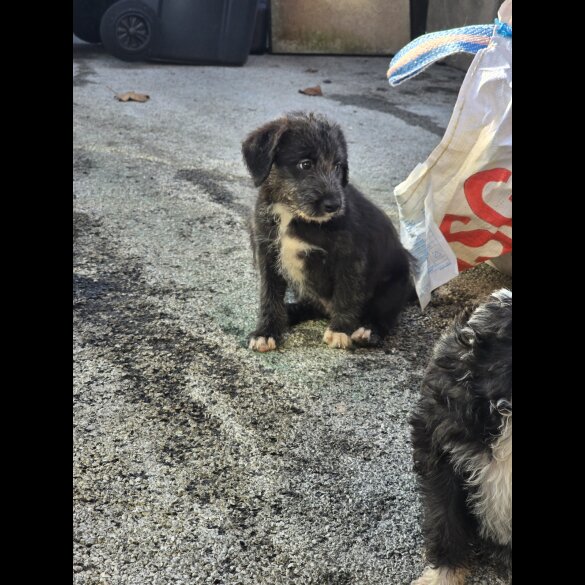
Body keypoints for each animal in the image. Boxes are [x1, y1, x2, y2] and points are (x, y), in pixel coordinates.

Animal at [240, 113, 412, 352]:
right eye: (305, 164)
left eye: (338, 165)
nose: (335, 205)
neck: (292, 213)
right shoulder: (268, 253)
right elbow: (269, 296)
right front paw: (265, 331)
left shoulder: (350, 257)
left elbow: (346, 293)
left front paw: (340, 330)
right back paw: (289, 312)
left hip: (392, 289)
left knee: (384, 317)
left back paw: (367, 331)